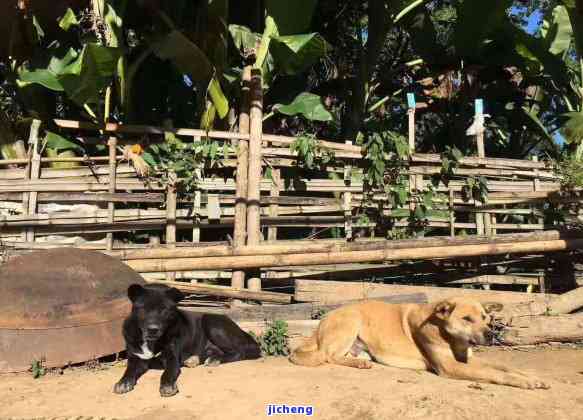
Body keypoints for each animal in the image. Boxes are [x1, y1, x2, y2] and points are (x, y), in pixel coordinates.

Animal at [112, 282, 262, 398]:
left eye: (164, 310)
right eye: (143, 308)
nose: (153, 329)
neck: (150, 342)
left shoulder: (172, 358)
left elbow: (167, 373)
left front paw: (167, 386)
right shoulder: (135, 358)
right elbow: (129, 371)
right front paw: (123, 383)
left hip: (212, 323)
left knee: (239, 351)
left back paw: (214, 360)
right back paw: (194, 359)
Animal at [292, 296, 552, 388]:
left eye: (485, 318)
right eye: (466, 319)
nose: (491, 335)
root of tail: (322, 322)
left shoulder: (467, 359)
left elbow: (505, 366)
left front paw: (531, 377)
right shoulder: (450, 366)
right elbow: (493, 372)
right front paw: (525, 382)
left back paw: (361, 362)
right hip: (351, 320)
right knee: (328, 355)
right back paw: (359, 365)